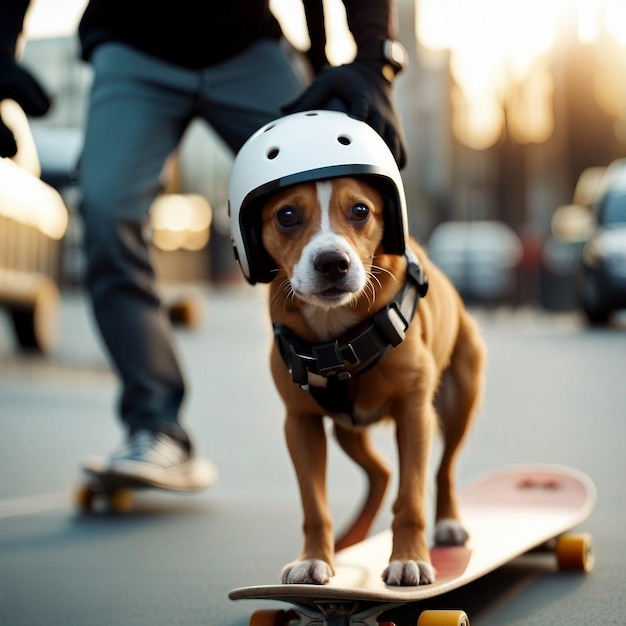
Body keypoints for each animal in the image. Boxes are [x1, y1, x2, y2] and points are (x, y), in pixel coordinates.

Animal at [227, 111, 486, 584]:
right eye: (287, 215)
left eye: (361, 210)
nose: (332, 262)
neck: (335, 334)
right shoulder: (301, 425)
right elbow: (314, 505)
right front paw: (316, 557)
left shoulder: (414, 414)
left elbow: (412, 495)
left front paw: (407, 557)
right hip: (348, 429)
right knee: (381, 473)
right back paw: (349, 541)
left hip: (459, 400)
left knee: (444, 469)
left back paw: (447, 523)